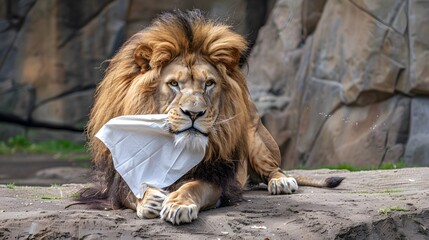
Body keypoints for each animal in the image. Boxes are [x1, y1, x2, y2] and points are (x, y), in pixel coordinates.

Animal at [78, 9, 342, 225]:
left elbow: (193, 187)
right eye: (174, 84)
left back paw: (281, 182)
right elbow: (130, 191)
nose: (194, 113)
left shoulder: (214, 177)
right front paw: (151, 199)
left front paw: (178, 205)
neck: (170, 146)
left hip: (255, 139)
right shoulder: (118, 178)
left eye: (209, 83)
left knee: (274, 168)